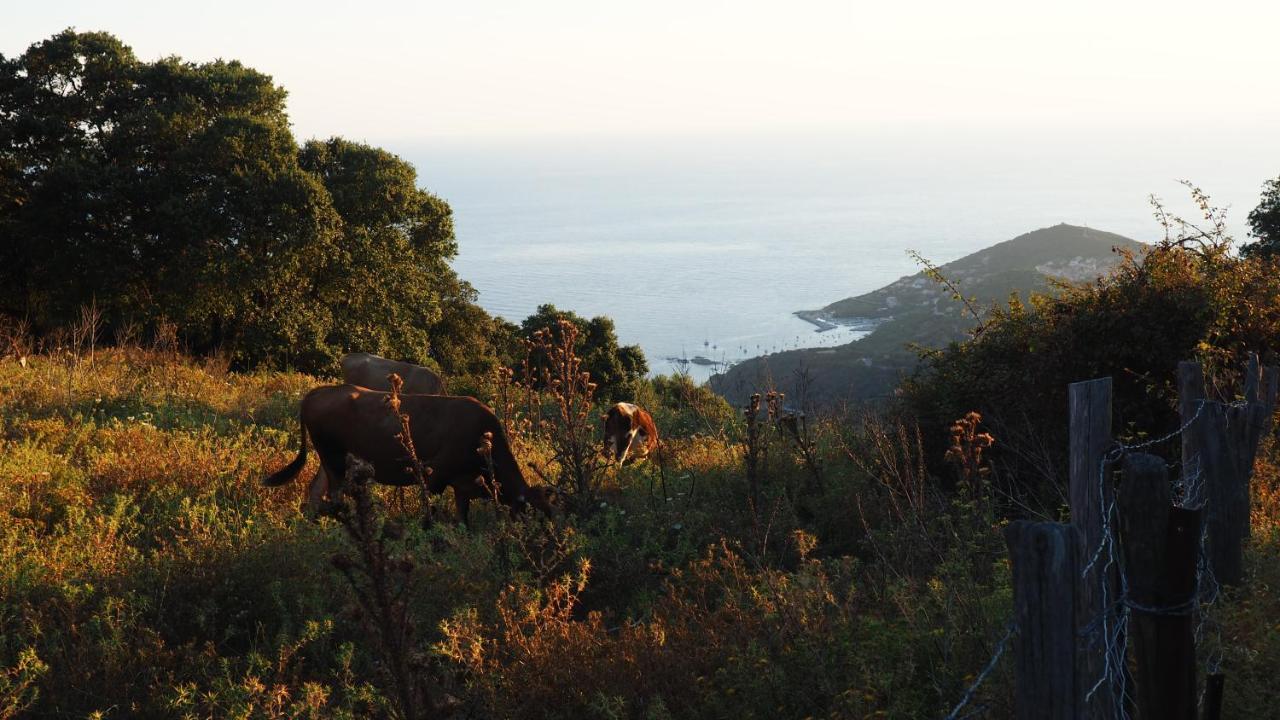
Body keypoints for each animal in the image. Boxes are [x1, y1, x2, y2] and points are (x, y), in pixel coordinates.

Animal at [264, 381, 550, 520]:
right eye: (534, 518)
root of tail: (318, 392)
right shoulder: (435, 475)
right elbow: (430, 512)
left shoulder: (462, 485)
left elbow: (463, 519)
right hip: (333, 458)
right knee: (334, 495)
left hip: (331, 460)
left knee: (316, 490)